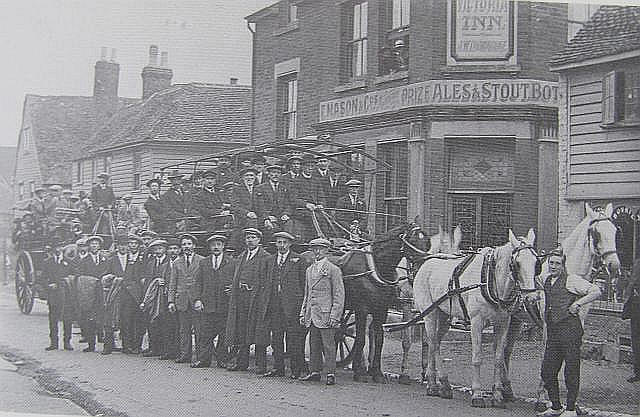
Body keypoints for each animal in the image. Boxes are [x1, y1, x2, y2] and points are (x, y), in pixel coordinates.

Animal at [412, 228, 536, 406]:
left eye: (536, 263)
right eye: (517, 264)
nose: (531, 298)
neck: (490, 280)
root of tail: (426, 264)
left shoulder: (503, 323)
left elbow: (499, 358)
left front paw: (497, 395)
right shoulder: (477, 322)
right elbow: (477, 357)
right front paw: (477, 394)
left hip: (444, 317)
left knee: (433, 342)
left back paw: (437, 383)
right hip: (430, 314)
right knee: (434, 344)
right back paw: (437, 385)